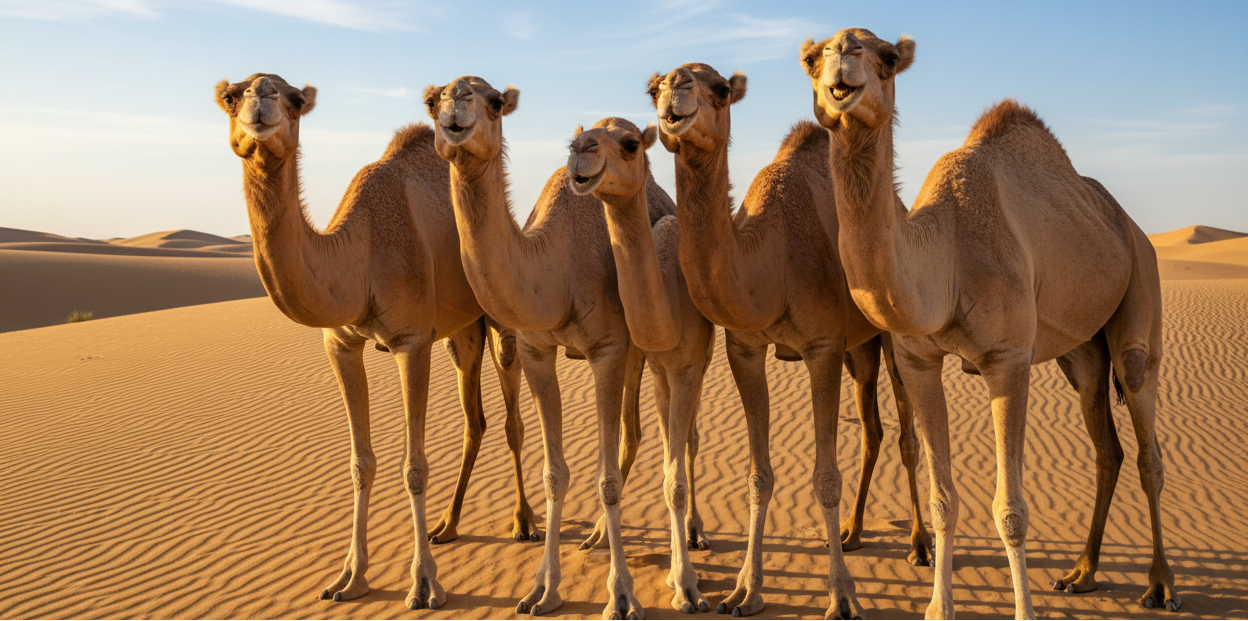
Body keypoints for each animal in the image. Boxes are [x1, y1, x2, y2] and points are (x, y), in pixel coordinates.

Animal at [213, 73, 542, 611]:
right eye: (231, 95)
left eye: (296, 100)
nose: (262, 100)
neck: (361, 253)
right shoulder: (340, 345)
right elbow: (359, 463)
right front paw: (349, 578)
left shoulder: (412, 341)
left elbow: (414, 465)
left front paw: (424, 584)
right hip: (461, 331)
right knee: (475, 418)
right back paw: (447, 525)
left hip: (499, 318)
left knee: (513, 419)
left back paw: (524, 522)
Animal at [425, 76, 681, 620]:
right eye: (433, 101)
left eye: (494, 101)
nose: (456, 107)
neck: (555, 267)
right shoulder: (536, 350)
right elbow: (554, 473)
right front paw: (542, 589)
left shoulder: (608, 348)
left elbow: (605, 478)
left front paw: (621, 595)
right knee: (633, 433)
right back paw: (598, 537)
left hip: (646, 345)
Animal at [566, 117, 717, 613]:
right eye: (581, 135)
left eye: (631, 144)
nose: (580, 147)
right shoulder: (657, 366)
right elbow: (667, 471)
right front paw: (675, 576)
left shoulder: (687, 366)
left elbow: (676, 476)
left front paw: (687, 585)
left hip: (704, 360)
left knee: (690, 441)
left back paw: (697, 532)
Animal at [649, 63, 929, 620]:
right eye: (654, 87)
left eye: (719, 89)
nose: (675, 90)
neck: (770, 260)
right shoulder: (745, 349)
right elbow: (759, 476)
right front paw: (745, 590)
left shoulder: (822, 347)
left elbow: (825, 477)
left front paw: (842, 596)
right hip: (859, 350)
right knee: (872, 430)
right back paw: (853, 532)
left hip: (890, 334)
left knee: (907, 438)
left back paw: (919, 544)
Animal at [803, 28, 1178, 619]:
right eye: (811, 58)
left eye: (888, 58)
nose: (844, 55)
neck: (946, 258)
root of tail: (1129, 223)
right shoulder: (918, 359)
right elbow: (943, 500)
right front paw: (938, 607)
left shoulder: (1008, 359)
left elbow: (1011, 511)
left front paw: (1022, 609)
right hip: (1081, 353)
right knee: (1107, 447)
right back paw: (1082, 573)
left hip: (1142, 282)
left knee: (1146, 438)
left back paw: (1159, 583)